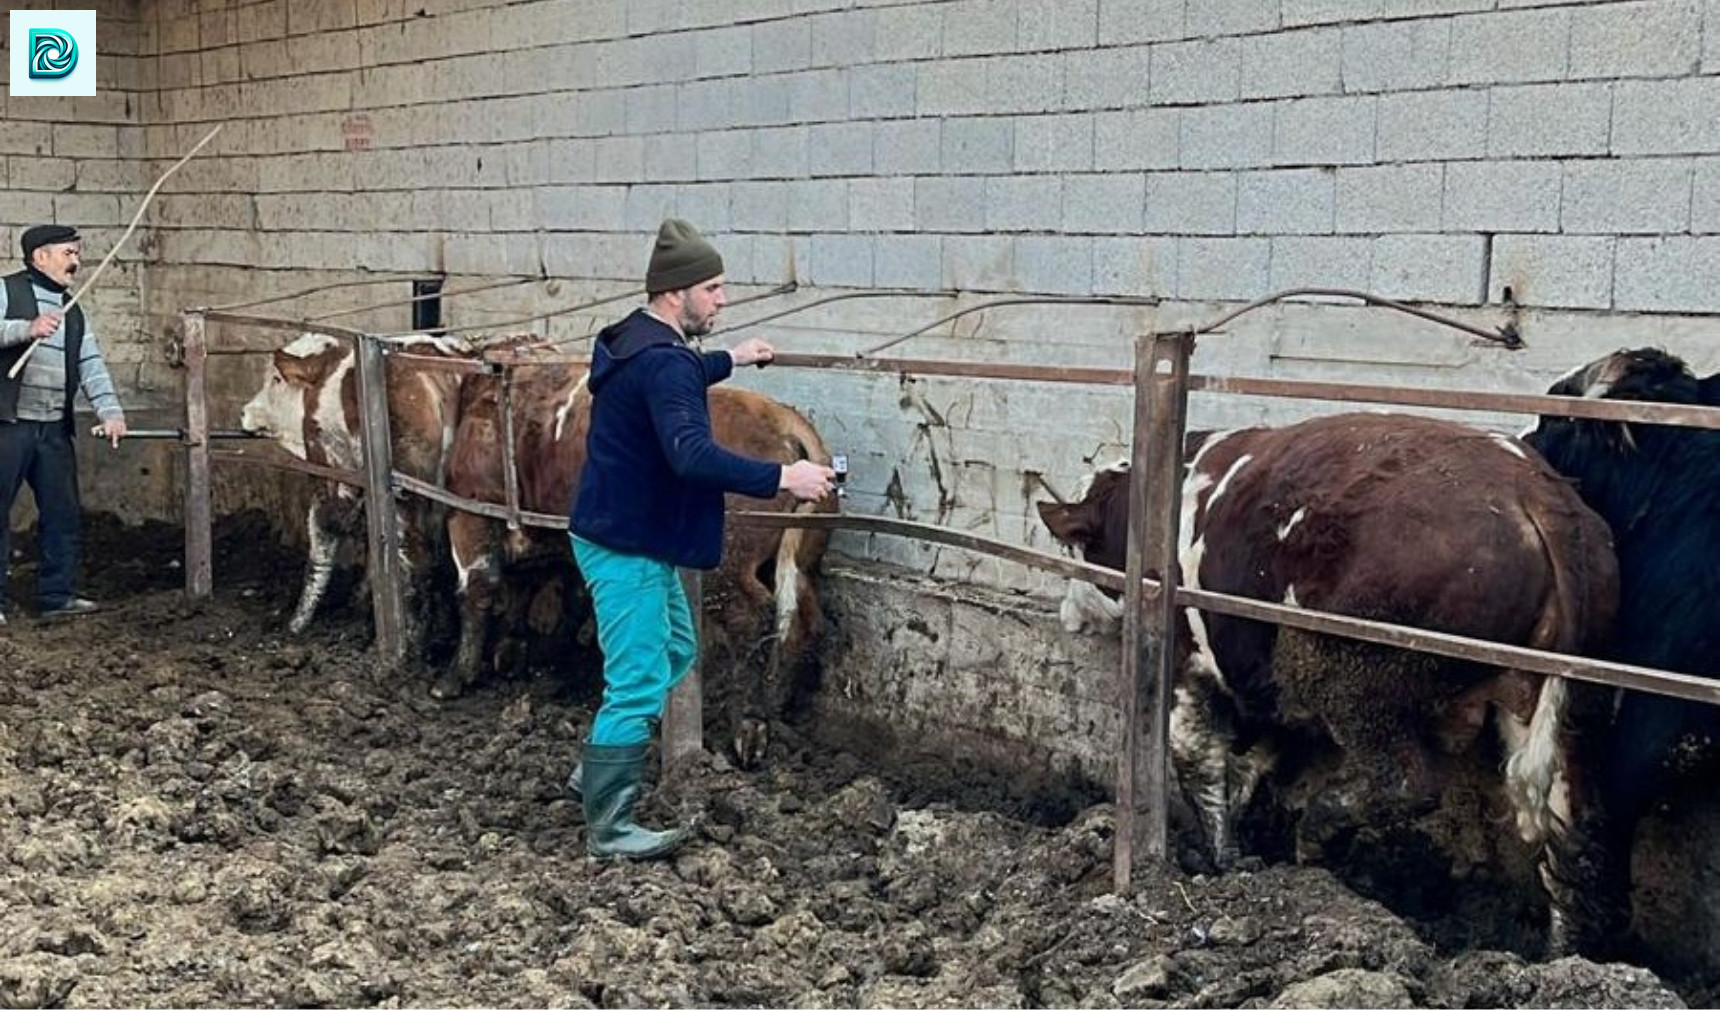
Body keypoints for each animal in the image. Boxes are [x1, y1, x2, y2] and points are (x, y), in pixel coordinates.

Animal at [440, 357, 835, 767]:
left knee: (752, 617)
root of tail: (783, 419)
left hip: (728, 563)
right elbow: (527, 589)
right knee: (803, 620)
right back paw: (778, 701)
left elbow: (478, 588)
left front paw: (454, 677)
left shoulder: (471, 509)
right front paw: (511, 654)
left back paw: (749, 728)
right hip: (800, 559)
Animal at [1038, 411, 1616, 956]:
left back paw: (1315, 832)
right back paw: (1563, 953)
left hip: (1363, 682)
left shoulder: (1188, 662)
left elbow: (1197, 757)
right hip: (1563, 705)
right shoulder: (1266, 682)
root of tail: (1534, 494)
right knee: (1569, 828)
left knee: (1406, 784)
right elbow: (1255, 761)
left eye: (1075, 550)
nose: (1067, 614)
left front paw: (1223, 859)